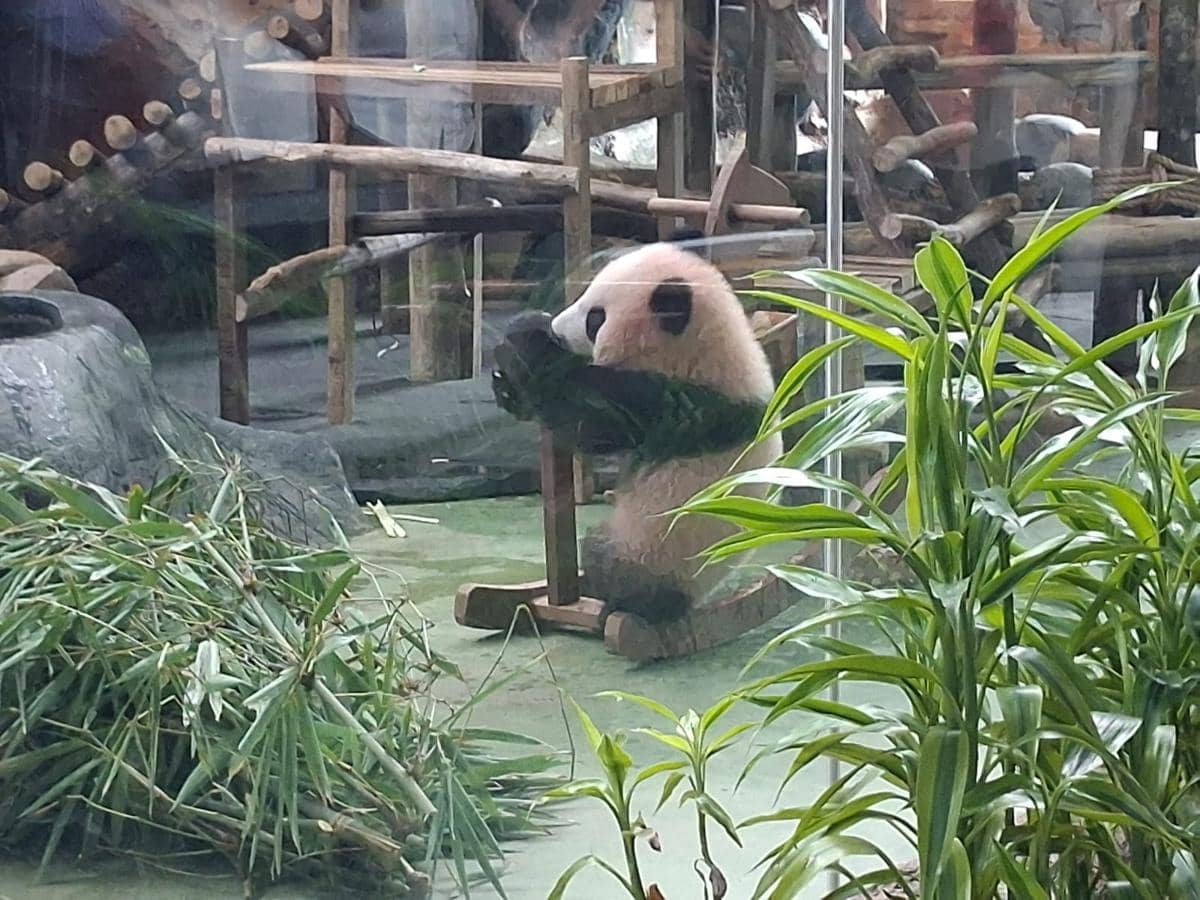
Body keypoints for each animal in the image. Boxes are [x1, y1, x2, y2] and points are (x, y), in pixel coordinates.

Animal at [492, 239, 783, 625]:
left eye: (595, 319)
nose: (557, 327)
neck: (708, 349)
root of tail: (686, 601)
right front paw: (508, 378)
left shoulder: (675, 406)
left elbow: (586, 422)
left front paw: (527, 342)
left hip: (646, 552)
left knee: (607, 559)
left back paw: (608, 598)